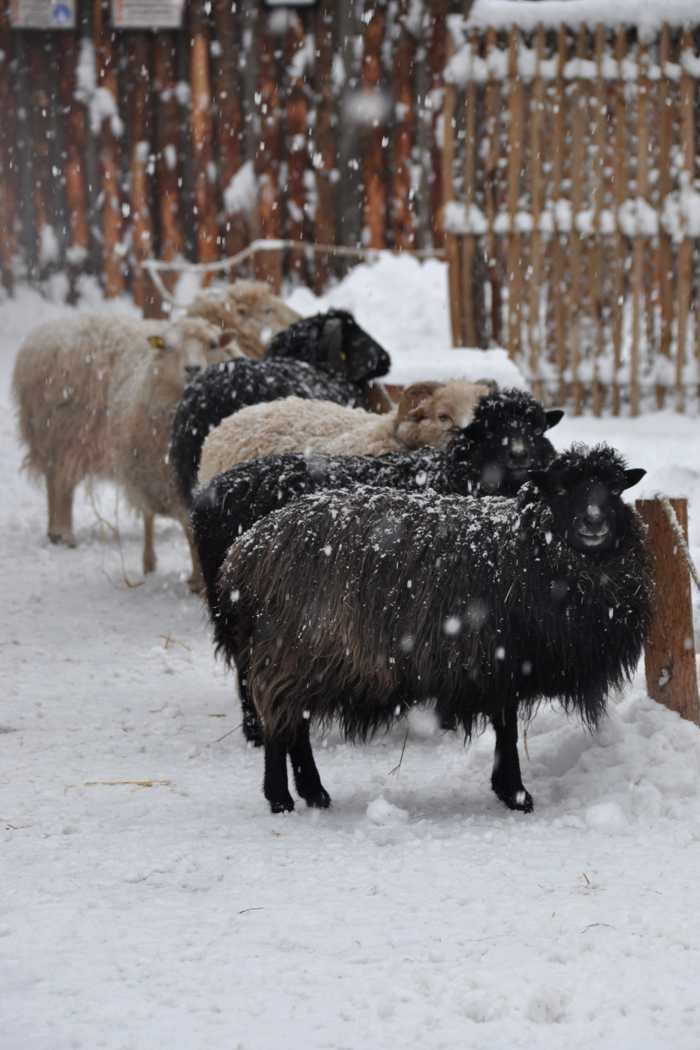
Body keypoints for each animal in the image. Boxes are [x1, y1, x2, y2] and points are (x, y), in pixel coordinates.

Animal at [12, 310, 235, 579]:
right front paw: (193, 578)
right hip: (64, 432)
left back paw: (54, 532)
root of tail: (37, 339)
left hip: (56, 437)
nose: (193, 369)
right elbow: (186, 527)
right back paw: (64, 533)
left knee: (54, 480)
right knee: (60, 483)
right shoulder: (161, 474)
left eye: (213, 344)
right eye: (169, 346)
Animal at [215, 440, 650, 810]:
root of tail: (245, 552)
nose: (594, 522)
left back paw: (314, 793)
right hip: (294, 650)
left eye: (614, 490)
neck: (527, 545)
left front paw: (508, 790)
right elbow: (507, 730)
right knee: (280, 725)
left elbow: (504, 728)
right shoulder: (501, 659)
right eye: (562, 489)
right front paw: (516, 794)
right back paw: (280, 799)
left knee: (296, 726)